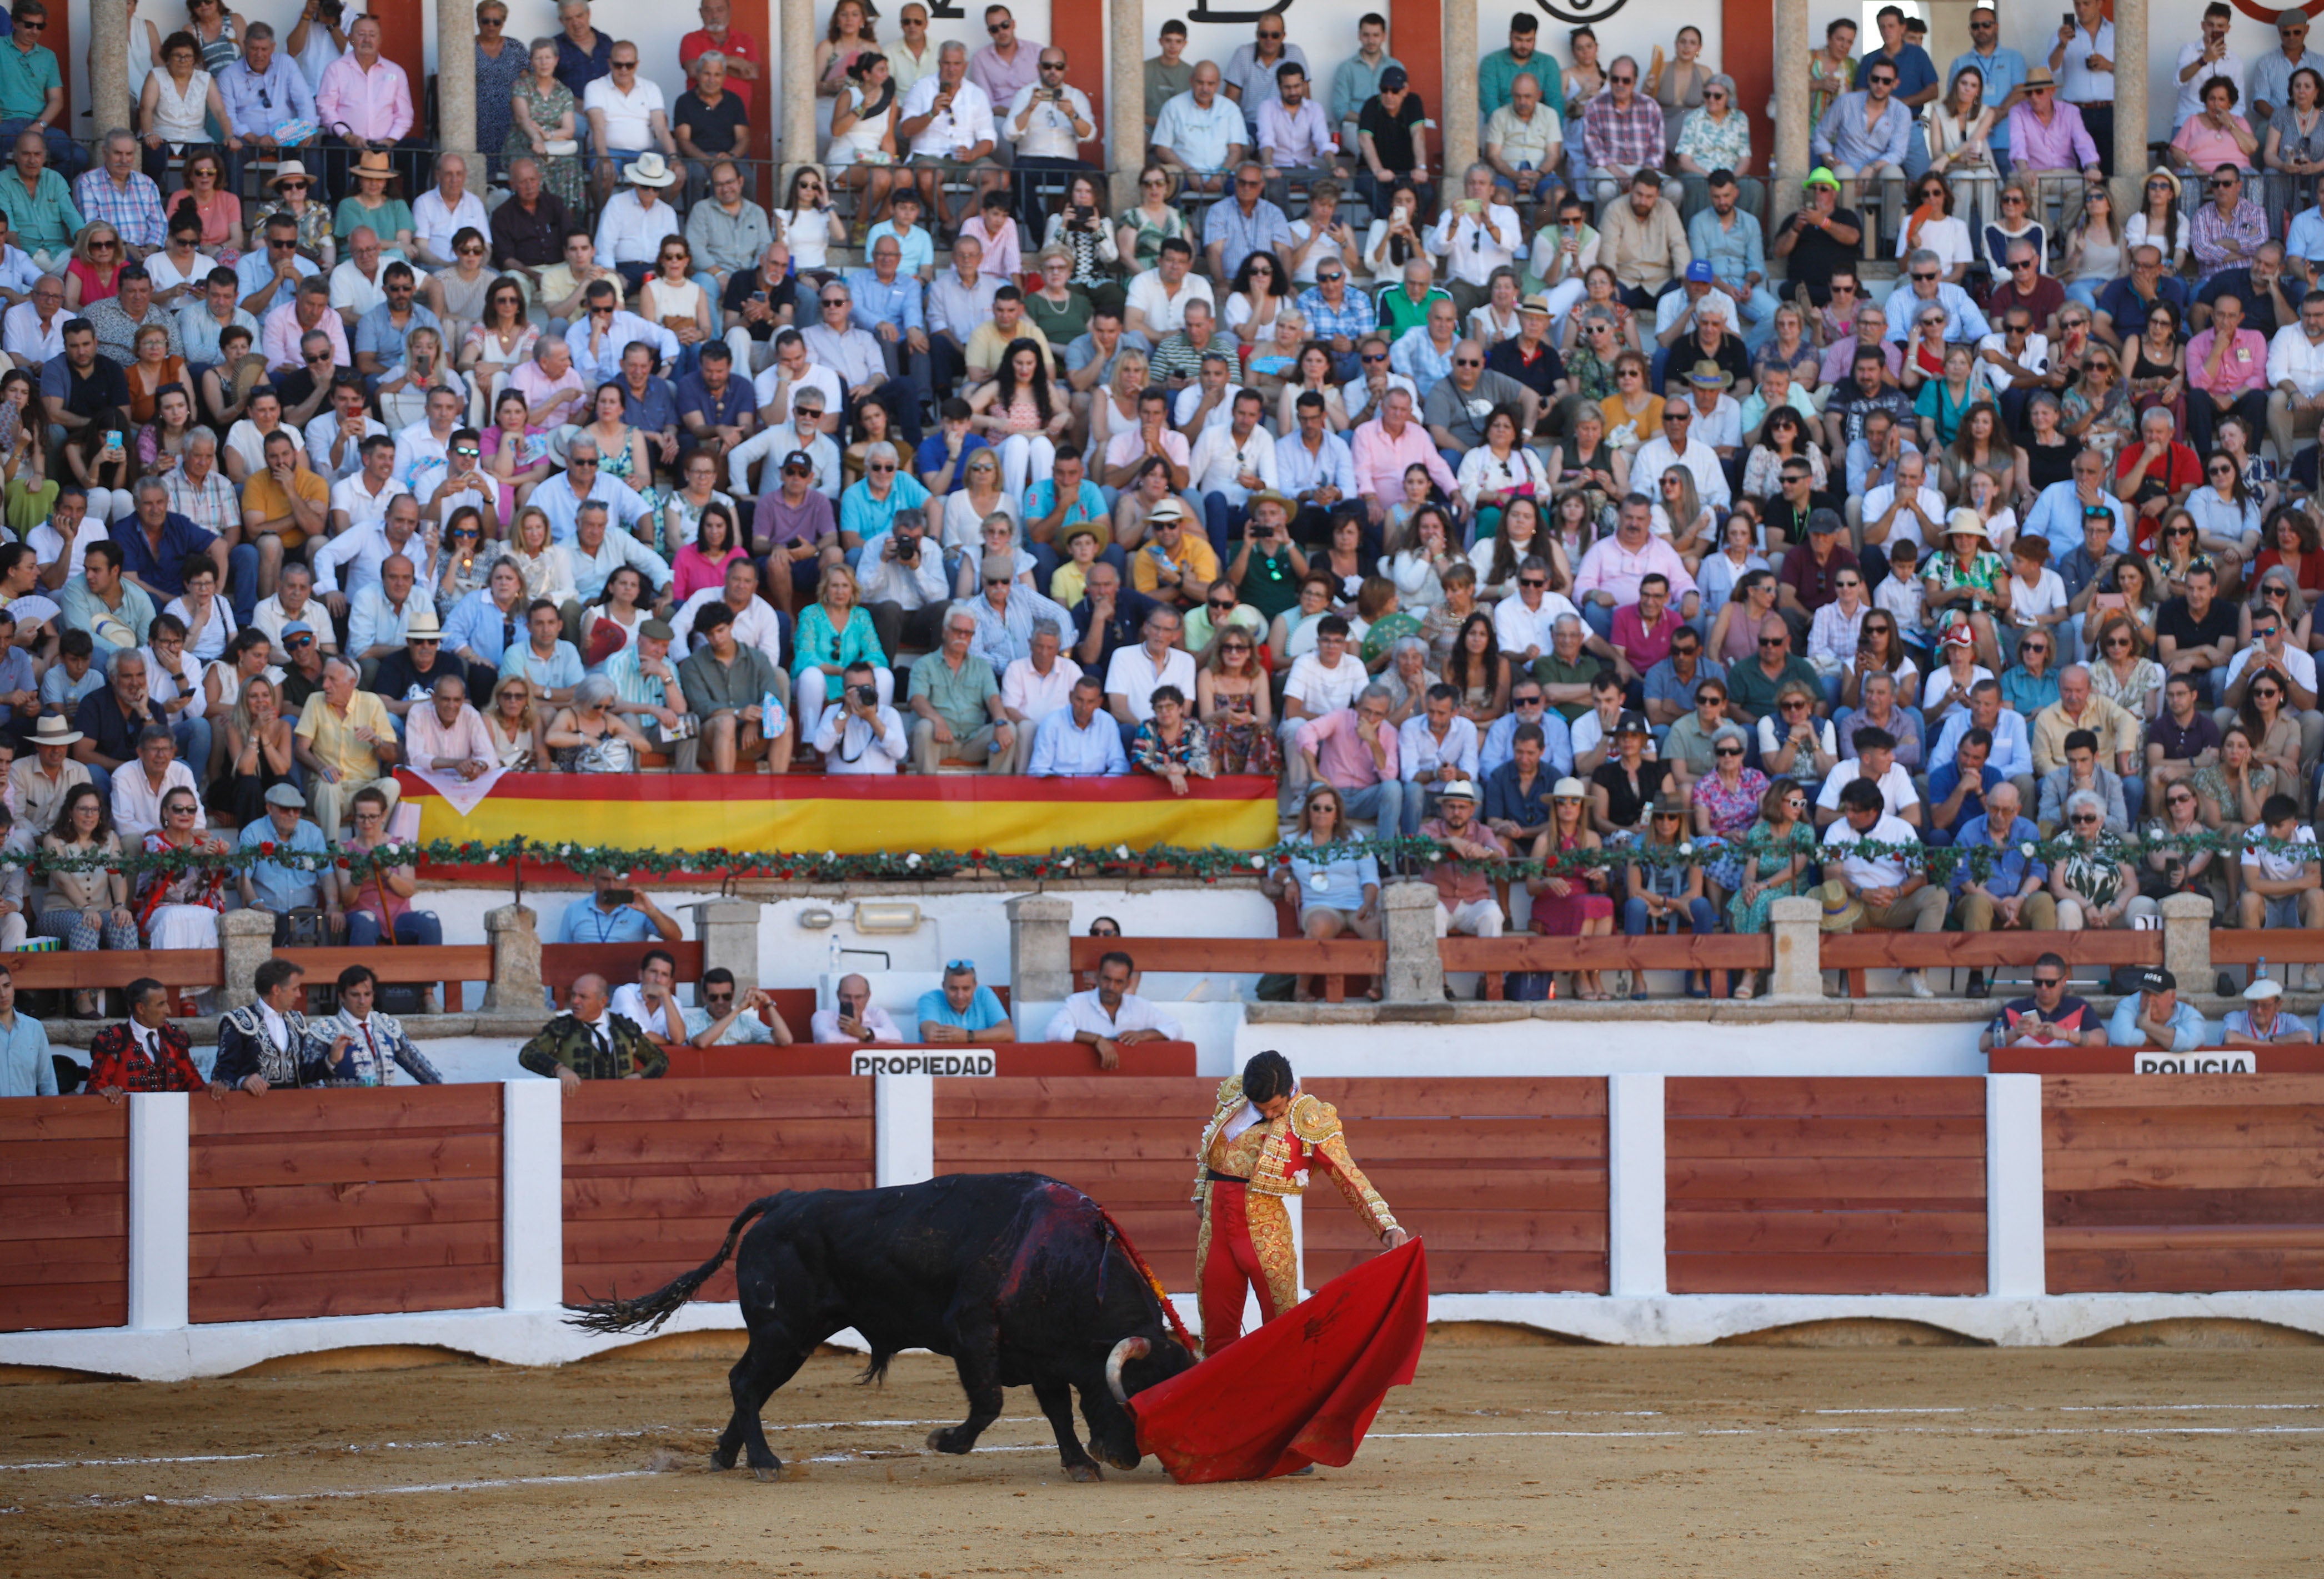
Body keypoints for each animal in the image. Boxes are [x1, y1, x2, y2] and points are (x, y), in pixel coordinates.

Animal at [567, 1172, 1199, 1479]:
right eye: (1133, 1396)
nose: (1125, 1458)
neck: (1065, 1258)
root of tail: (783, 1201)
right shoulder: (973, 1334)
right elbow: (990, 1403)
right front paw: (946, 1441)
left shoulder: (1040, 1349)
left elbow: (1057, 1410)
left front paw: (1078, 1464)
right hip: (782, 1331)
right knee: (745, 1383)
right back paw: (765, 1464)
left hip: (793, 1338)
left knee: (748, 1386)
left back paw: (727, 1458)